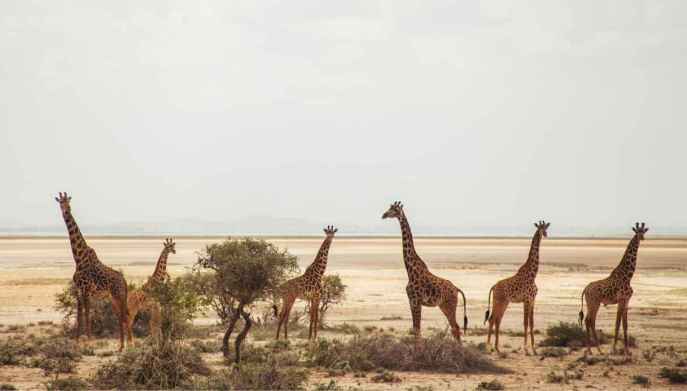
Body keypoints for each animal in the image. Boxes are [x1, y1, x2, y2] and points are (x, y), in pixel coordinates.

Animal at [55, 193, 130, 352]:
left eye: (69, 203)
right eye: (60, 203)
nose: (66, 212)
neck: (78, 258)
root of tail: (125, 281)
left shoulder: (86, 290)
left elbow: (87, 313)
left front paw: (89, 341)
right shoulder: (78, 290)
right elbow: (79, 315)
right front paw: (77, 340)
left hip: (118, 296)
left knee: (124, 316)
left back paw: (127, 344)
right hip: (113, 298)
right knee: (121, 316)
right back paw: (122, 345)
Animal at [378, 202, 470, 346]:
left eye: (394, 209)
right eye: (389, 207)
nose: (384, 214)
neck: (410, 271)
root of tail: (456, 289)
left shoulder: (416, 301)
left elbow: (417, 329)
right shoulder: (411, 301)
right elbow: (416, 329)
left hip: (449, 305)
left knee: (456, 327)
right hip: (443, 306)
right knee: (455, 328)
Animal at [486, 220, 552, 356]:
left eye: (546, 228)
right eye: (539, 228)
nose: (545, 234)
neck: (533, 275)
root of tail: (494, 286)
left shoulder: (532, 300)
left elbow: (531, 323)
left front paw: (534, 349)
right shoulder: (526, 300)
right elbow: (525, 323)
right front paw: (526, 349)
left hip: (504, 303)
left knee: (497, 320)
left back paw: (497, 348)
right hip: (498, 301)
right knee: (492, 319)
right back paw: (488, 347)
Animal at [576, 222, 648, 356]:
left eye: (643, 231)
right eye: (637, 232)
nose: (642, 238)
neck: (628, 276)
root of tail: (585, 289)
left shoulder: (626, 301)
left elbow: (625, 325)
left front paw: (627, 351)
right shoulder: (621, 300)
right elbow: (617, 324)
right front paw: (614, 349)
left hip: (592, 303)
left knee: (590, 320)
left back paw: (593, 350)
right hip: (594, 303)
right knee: (589, 320)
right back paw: (594, 350)